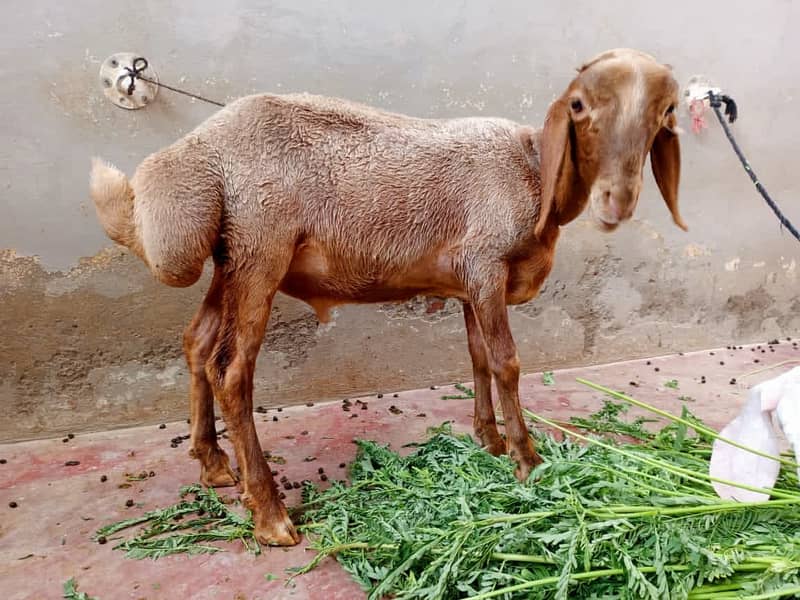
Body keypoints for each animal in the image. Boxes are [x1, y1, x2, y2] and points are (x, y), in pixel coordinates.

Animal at [89, 48, 685, 546]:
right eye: (579, 105)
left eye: (664, 113)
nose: (618, 200)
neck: (535, 170)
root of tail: (201, 152)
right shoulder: (486, 264)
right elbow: (507, 363)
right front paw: (528, 461)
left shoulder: (468, 282)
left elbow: (477, 359)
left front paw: (488, 441)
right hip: (261, 248)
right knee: (231, 372)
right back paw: (271, 515)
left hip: (231, 258)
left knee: (197, 343)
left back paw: (213, 464)